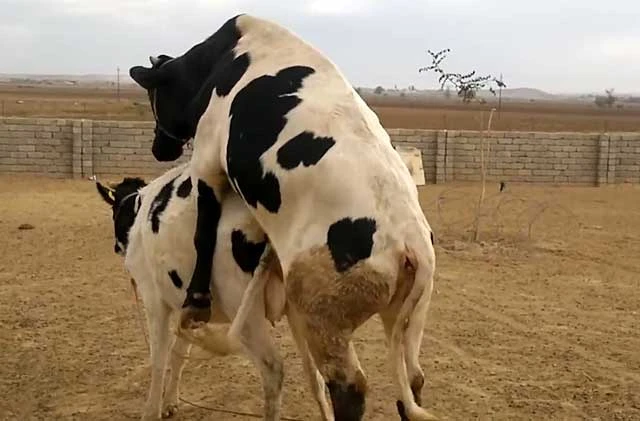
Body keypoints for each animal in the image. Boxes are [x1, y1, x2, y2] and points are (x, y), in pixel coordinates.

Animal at [94, 162, 333, 421]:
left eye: (114, 210)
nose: (116, 246)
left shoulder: (154, 299)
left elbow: (158, 358)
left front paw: (151, 411)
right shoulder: (185, 309)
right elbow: (178, 353)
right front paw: (170, 402)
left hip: (245, 313)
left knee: (273, 370)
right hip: (298, 309)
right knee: (317, 373)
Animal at [128, 13, 437, 421]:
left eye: (154, 97)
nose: (157, 147)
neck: (223, 61)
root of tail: (408, 244)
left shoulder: (207, 162)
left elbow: (203, 228)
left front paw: (196, 300)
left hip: (324, 318)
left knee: (350, 388)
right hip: (408, 317)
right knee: (413, 381)